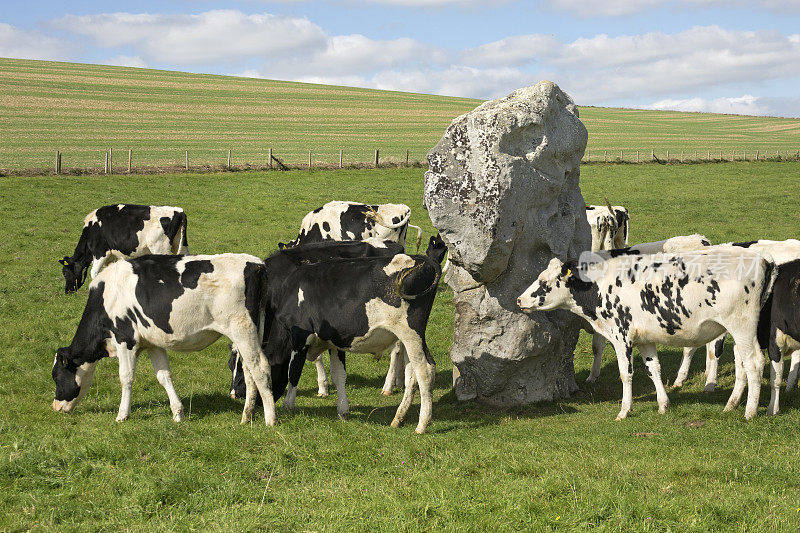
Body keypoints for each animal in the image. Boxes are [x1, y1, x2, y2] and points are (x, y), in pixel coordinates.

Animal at [50, 251, 276, 426]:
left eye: (57, 377)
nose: (55, 407)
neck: (106, 298)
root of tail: (255, 264)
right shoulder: (153, 343)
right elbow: (164, 376)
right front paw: (178, 413)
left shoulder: (125, 339)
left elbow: (126, 377)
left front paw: (122, 415)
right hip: (252, 331)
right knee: (249, 370)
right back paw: (246, 416)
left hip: (242, 329)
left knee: (261, 369)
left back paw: (270, 419)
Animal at [60, 205, 188, 296]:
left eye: (65, 273)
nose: (67, 292)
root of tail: (178, 211)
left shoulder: (100, 253)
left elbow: (94, 273)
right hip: (182, 247)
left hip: (160, 249)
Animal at [236, 247, 444, 430]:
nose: (253, 405)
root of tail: (424, 260)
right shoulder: (334, 342)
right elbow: (339, 375)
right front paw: (343, 411)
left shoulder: (300, 337)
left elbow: (293, 371)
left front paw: (288, 406)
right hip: (409, 338)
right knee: (412, 374)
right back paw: (398, 418)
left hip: (411, 333)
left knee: (425, 370)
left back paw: (422, 424)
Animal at [520, 249, 776, 420]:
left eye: (543, 281)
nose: (519, 300)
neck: (599, 285)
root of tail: (762, 259)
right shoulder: (645, 340)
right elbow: (654, 369)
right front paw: (663, 404)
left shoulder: (621, 336)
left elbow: (626, 374)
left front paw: (624, 410)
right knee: (742, 365)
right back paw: (731, 404)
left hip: (742, 327)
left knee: (754, 363)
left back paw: (749, 412)